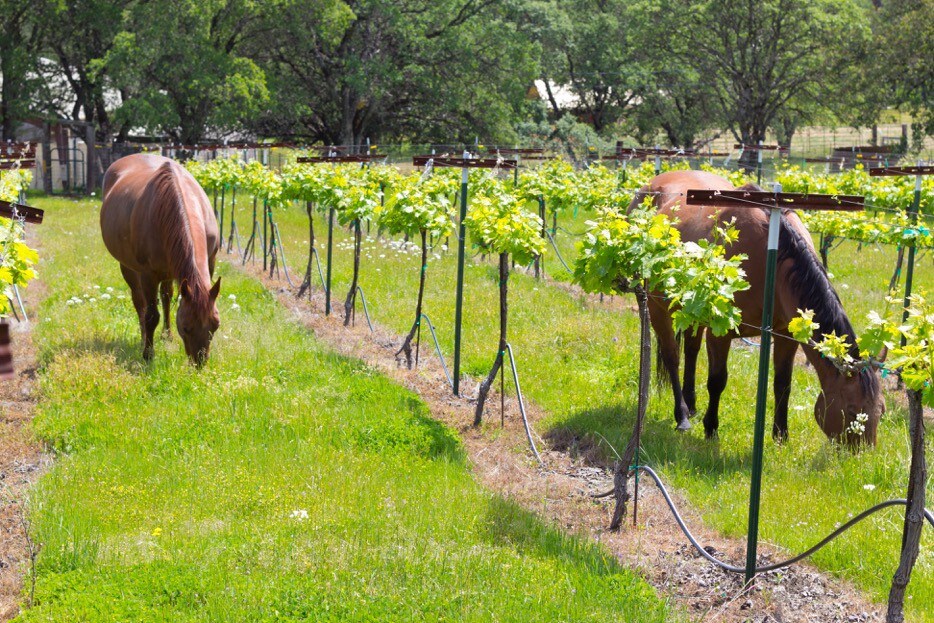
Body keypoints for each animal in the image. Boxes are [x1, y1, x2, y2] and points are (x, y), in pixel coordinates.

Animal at [100, 154, 221, 366]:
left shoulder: (209, 263)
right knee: (139, 302)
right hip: (129, 268)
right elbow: (151, 315)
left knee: (166, 296)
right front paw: (148, 354)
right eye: (186, 327)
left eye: (215, 325)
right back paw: (143, 338)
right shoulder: (148, 275)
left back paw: (167, 334)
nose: (199, 363)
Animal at [636, 168, 884, 446]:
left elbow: (783, 383)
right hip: (656, 308)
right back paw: (682, 416)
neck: (771, 257)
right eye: (852, 411)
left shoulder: (786, 335)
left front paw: (781, 435)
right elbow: (717, 381)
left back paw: (691, 405)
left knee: (690, 350)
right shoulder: (720, 334)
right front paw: (711, 428)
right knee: (672, 357)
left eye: (881, 412)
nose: (861, 453)